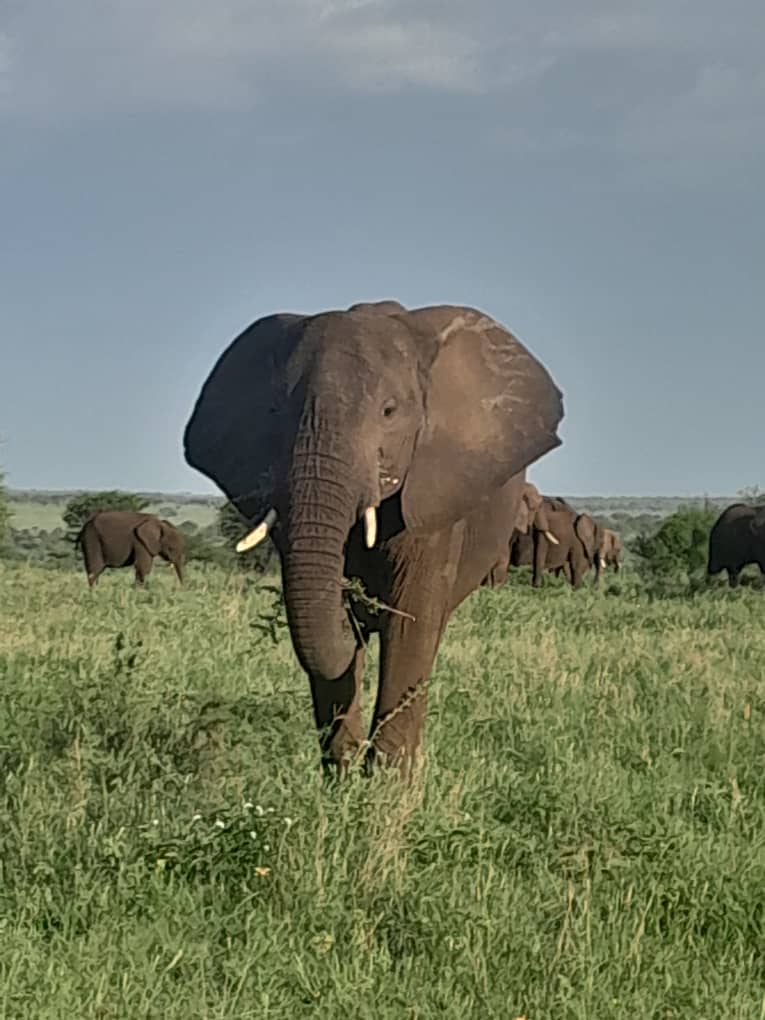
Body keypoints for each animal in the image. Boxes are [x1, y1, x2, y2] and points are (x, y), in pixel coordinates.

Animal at [184, 300, 563, 776]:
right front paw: (343, 778)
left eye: (389, 411)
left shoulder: (433, 493)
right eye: (274, 413)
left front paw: (388, 782)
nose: (360, 605)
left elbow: (411, 624)